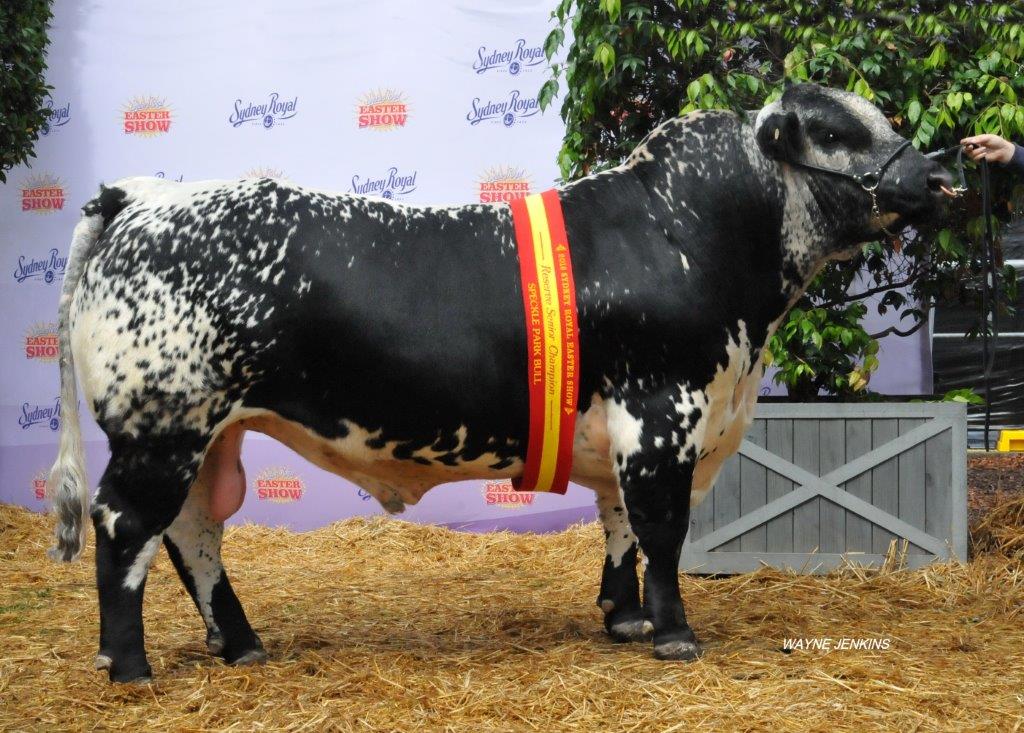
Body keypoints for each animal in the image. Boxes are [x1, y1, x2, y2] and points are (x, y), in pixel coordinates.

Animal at [47, 83, 951, 682]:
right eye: (835, 131)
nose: (940, 177)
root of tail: (142, 194)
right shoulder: (663, 414)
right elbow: (662, 531)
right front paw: (673, 633)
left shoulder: (630, 427)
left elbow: (619, 526)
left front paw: (624, 617)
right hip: (164, 426)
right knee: (125, 524)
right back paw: (126, 663)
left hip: (208, 432)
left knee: (193, 531)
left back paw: (239, 642)